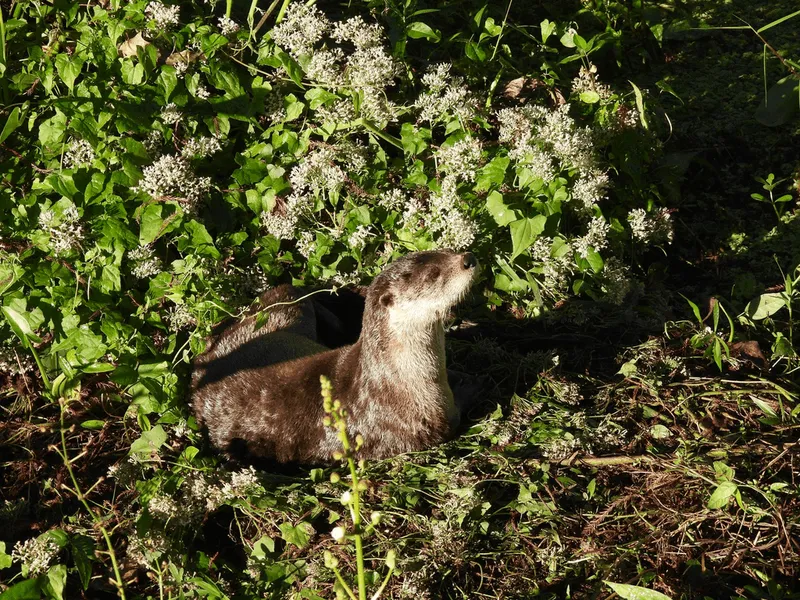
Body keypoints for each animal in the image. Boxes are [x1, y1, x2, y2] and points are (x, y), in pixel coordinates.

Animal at [191, 250, 479, 464]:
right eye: (434, 275)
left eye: (446, 250)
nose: (467, 258)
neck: (398, 381)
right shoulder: (429, 423)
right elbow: (458, 413)